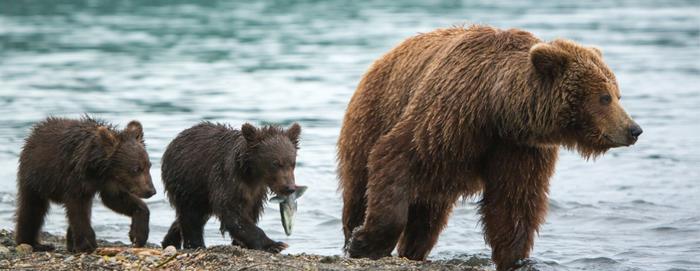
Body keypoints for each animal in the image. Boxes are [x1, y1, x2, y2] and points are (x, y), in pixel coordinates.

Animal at [336, 24, 644, 270]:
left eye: (617, 94)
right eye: (604, 97)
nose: (634, 129)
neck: (497, 109)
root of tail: (384, 57)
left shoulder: (517, 147)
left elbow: (513, 203)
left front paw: (515, 258)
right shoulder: (447, 118)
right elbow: (397, 156)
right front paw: (364, 244)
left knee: (429, 215)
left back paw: (414, 250)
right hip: (373, 115)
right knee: (359, 187)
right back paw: (353, 234)